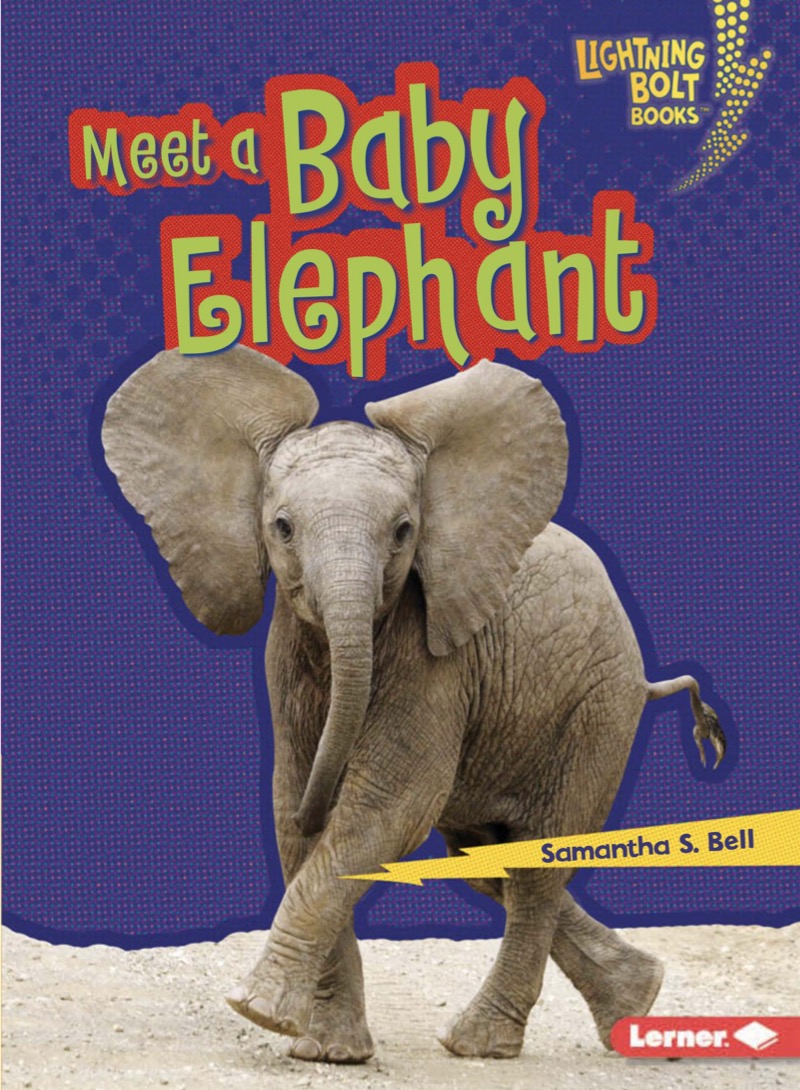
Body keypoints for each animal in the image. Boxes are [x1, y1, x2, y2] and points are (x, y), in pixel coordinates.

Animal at [102, 346, 726, 1063]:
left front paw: (258, 1010)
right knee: (489, 861)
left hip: (596, 709)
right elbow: (292, 807)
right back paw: (636, 1000)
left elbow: (387, 803)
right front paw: (327, 1050)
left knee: (536, 865)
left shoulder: (439, 660)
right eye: (281, 529)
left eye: (404, 532)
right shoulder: (286, 655)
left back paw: (479, 1043)